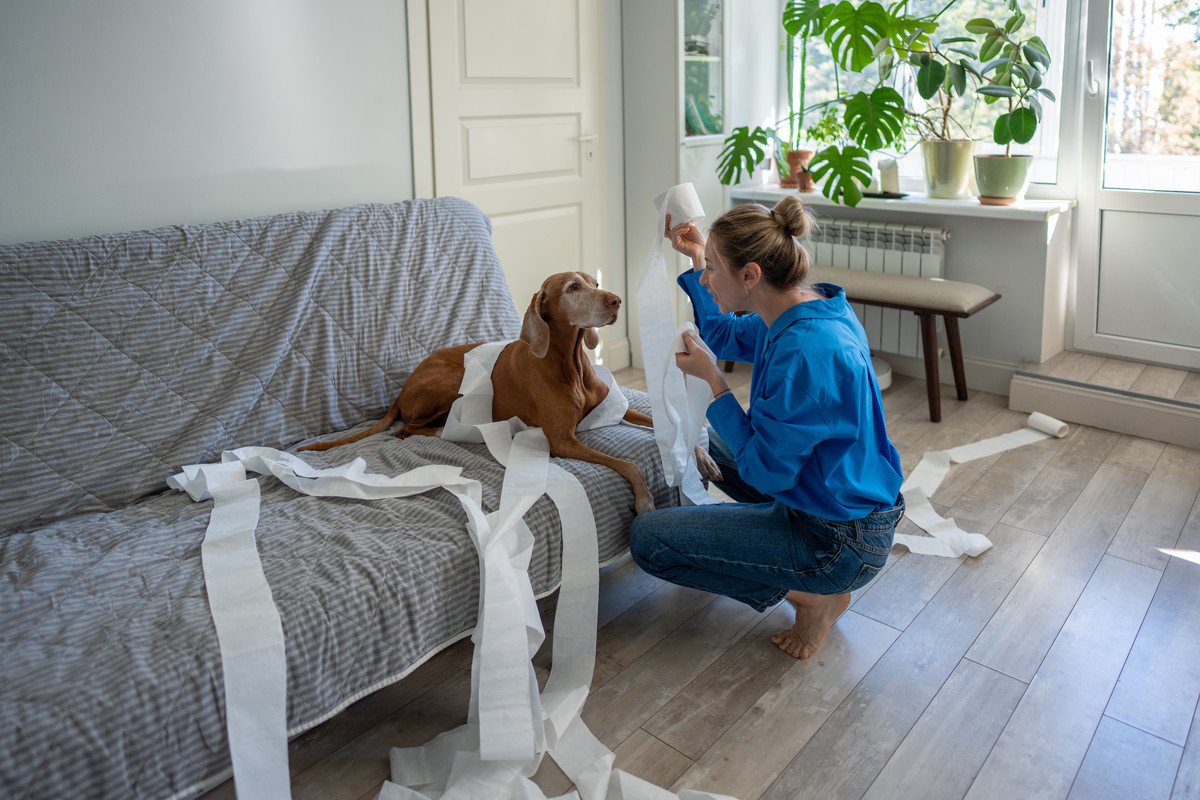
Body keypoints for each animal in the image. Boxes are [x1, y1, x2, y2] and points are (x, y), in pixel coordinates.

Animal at [295, 272, 662, 513]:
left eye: (594, 283)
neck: (568, 363)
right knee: (407, 430)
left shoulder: (614, 407)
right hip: (455, 378)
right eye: (573, 287)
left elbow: (655, 421)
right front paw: (645, 499)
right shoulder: (562, 440)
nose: (617, 300)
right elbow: (629, 464)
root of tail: (402, 389)